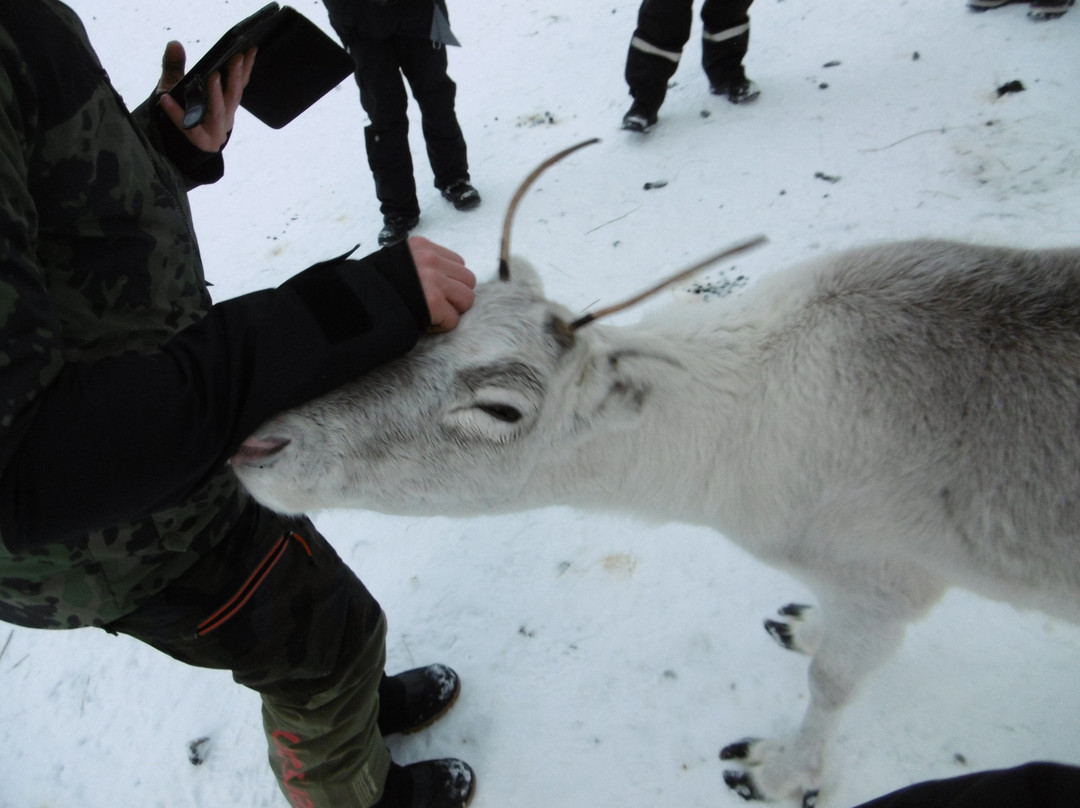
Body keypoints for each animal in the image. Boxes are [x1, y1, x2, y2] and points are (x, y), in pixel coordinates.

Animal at [231, 140, 1080, 806]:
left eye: (502, 408)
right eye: (430, 328)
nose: (258, 445)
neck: (732, 427)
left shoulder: (888, 578)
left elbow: (833, 682)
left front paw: (777, 772)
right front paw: (803, 624)